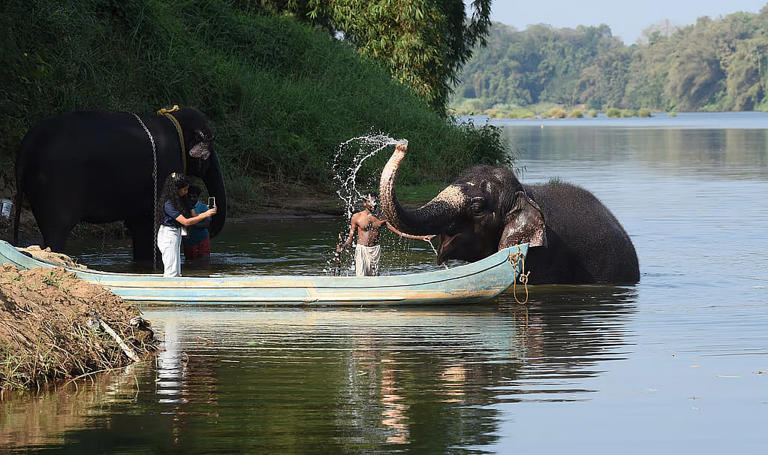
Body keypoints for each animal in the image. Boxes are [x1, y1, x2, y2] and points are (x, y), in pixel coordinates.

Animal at [13, 106, 227, 262]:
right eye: (211, 145)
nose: (210, 230)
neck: (174, 121)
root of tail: (26, 145)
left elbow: (140, 224)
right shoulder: (166, 168)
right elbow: (151, 222)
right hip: (56, 181)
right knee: (57, 229)